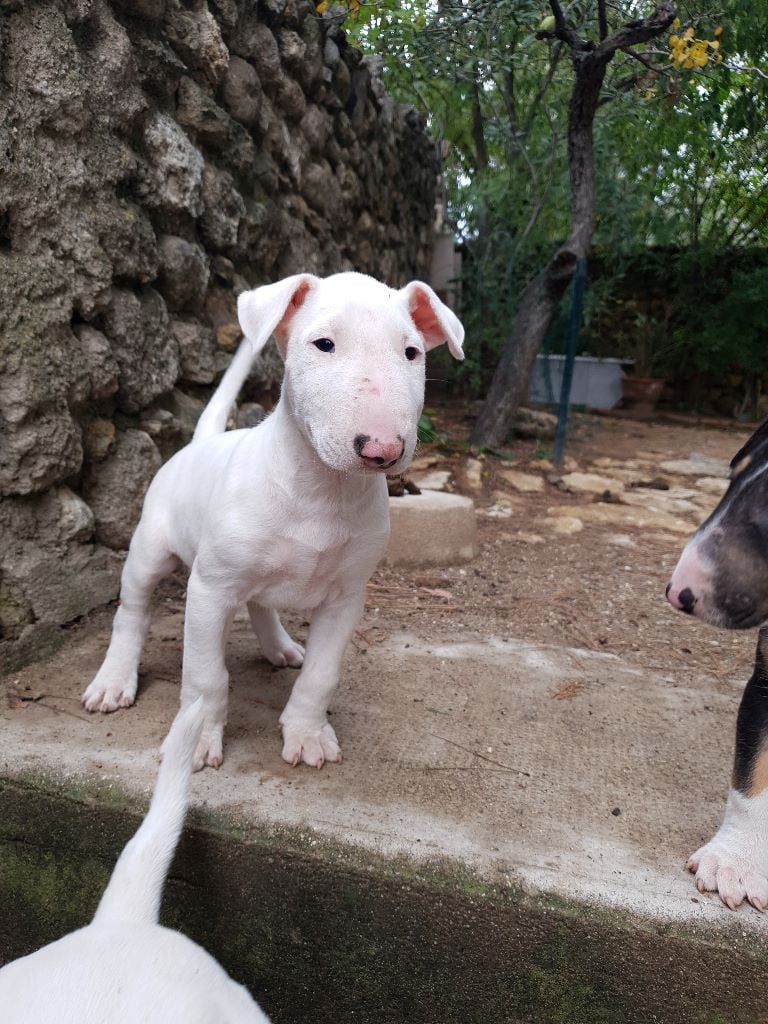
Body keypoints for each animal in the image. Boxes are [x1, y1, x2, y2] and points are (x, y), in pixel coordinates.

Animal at [82, 272, 465, 770]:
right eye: (324, 344)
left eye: (412, 352)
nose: (383, 450)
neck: (323, 490)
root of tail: (201, 443)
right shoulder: (209, 590)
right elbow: (205, 676)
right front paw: (197, 742)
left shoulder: (345, 599)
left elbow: (321, 674)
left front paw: (307, 734)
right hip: (149, 551)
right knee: (132, 611)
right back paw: (113, 681)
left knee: (260, 603)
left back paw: (279, 646)